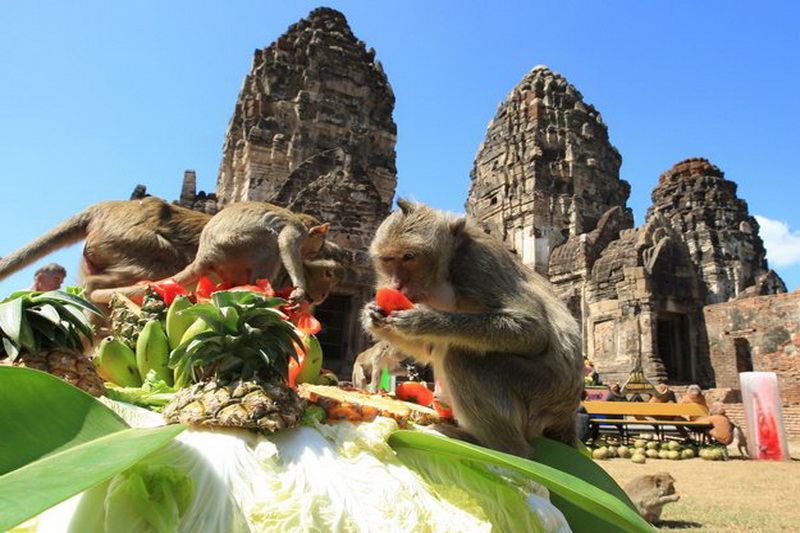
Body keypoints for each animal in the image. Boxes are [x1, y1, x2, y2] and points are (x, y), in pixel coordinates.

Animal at [90, 202, 332, 306]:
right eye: (316, 247)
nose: (310, 254)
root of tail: (204, 255)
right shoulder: (296, 231)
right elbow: (286, 244)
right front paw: (299, 289)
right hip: (235, 247)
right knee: (270, 244)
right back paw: (260, 287)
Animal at [362, 200, 580, 458]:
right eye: (388, 259)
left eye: (409, 257)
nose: (396, 284)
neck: (444, 275)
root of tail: (567, 415)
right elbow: (429, 346)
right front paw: (372, 316)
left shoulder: (477, 264)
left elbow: (534, 332)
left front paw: (424, 320)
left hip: (544, 394)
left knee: (463, 357)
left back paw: (500, 448)